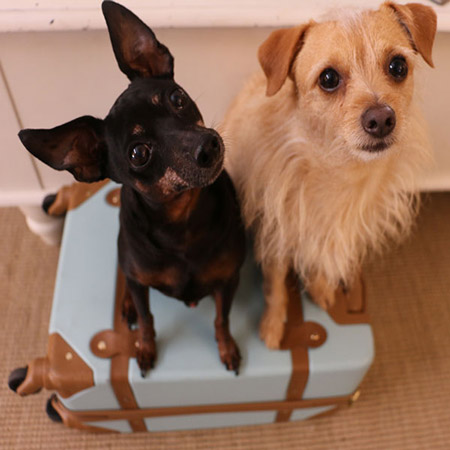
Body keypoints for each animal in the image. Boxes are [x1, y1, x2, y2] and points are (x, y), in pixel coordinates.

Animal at [17, 0, 244, 376]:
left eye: (177, 98)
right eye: (138, 154)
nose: (208, 145)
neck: (181, 221)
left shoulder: (228, 281)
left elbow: (221, 319)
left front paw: (226, 348)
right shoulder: (141, 283)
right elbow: (149, 318)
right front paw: (145, 348)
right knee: (127, 277)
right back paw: (126, 306)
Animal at [223, 1, 438, 350]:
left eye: (398, 66)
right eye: (328, 78)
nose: (381, 119)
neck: (339, 170)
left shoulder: (332, 232)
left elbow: (322, 261)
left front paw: (321, 288)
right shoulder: (277, 236)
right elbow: (276, 286)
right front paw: (273, 326)